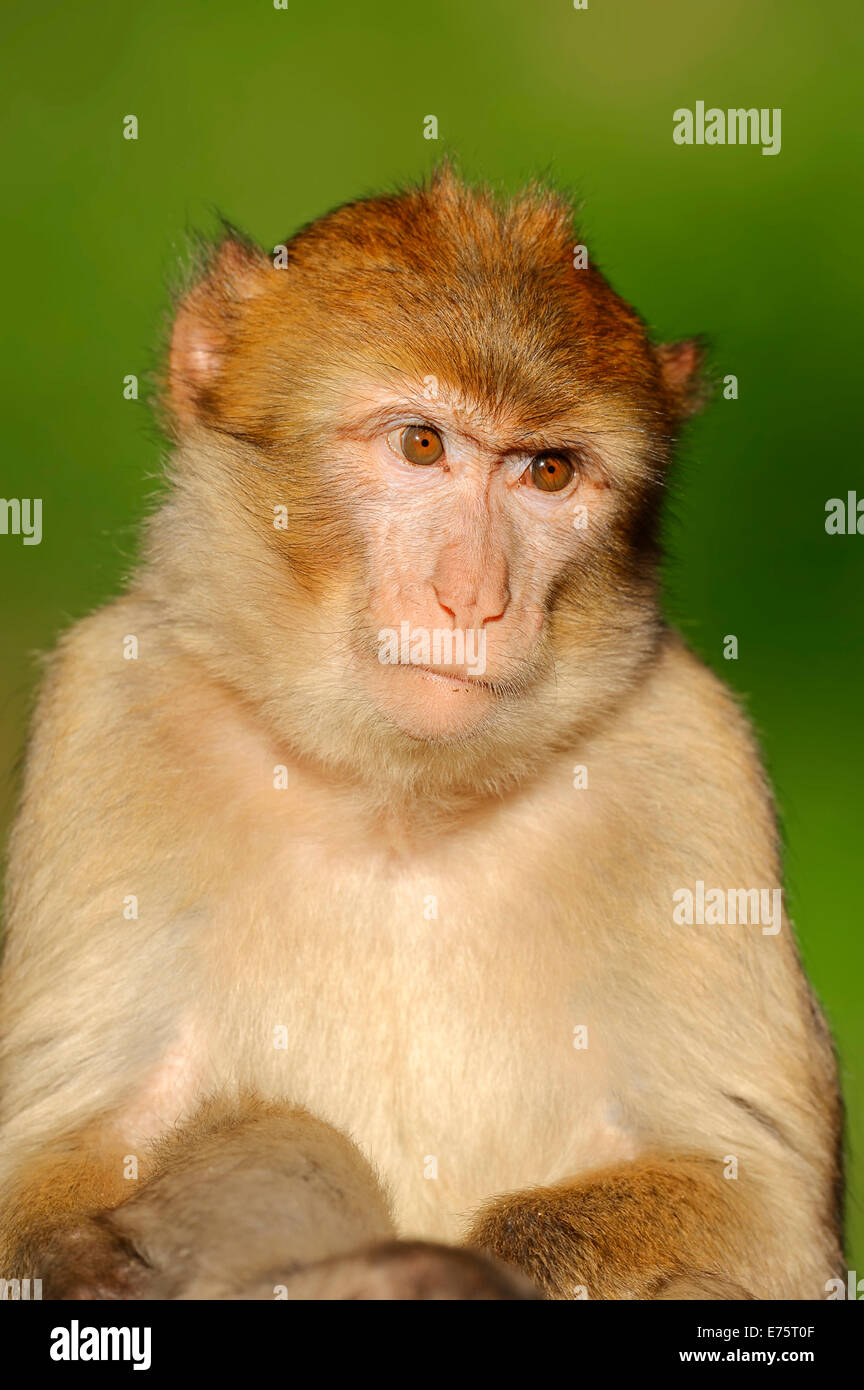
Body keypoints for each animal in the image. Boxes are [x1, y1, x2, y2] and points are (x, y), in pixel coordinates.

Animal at [0, 170, 844, 1301]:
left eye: (548, 472)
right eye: (422, 445)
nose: (474, 598)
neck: (397, 809)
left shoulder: (694, 756)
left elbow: (759, 1199)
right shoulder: (109, 708)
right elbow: (45, 1158)